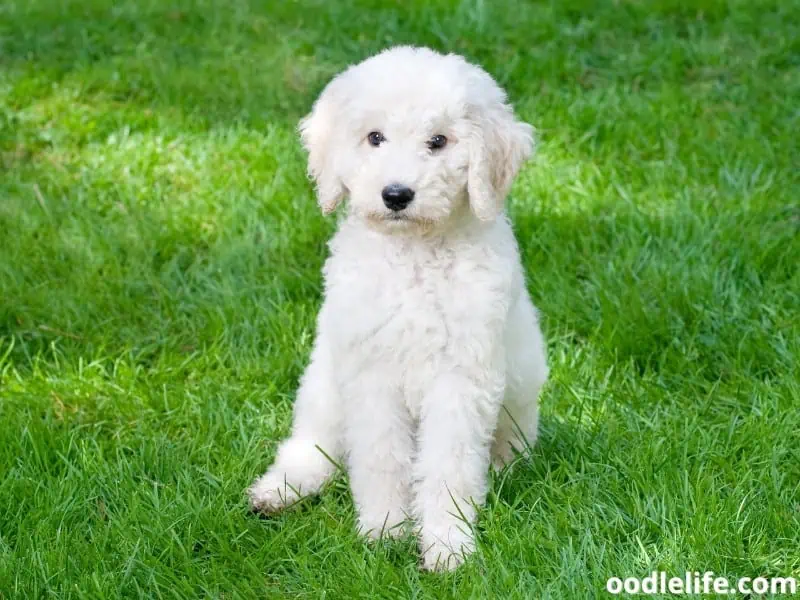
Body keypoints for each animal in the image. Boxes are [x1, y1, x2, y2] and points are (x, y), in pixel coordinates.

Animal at [248, 47, 552, 572]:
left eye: (439, 141)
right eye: (375, 137)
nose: (396, 195)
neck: (414, 255)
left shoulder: (460, 379)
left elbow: (449, 465)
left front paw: (448, 545)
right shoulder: (372, 373)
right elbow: (380, 456)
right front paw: (385, 531)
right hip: (324, 382)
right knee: (314, 444)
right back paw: (280, 490)